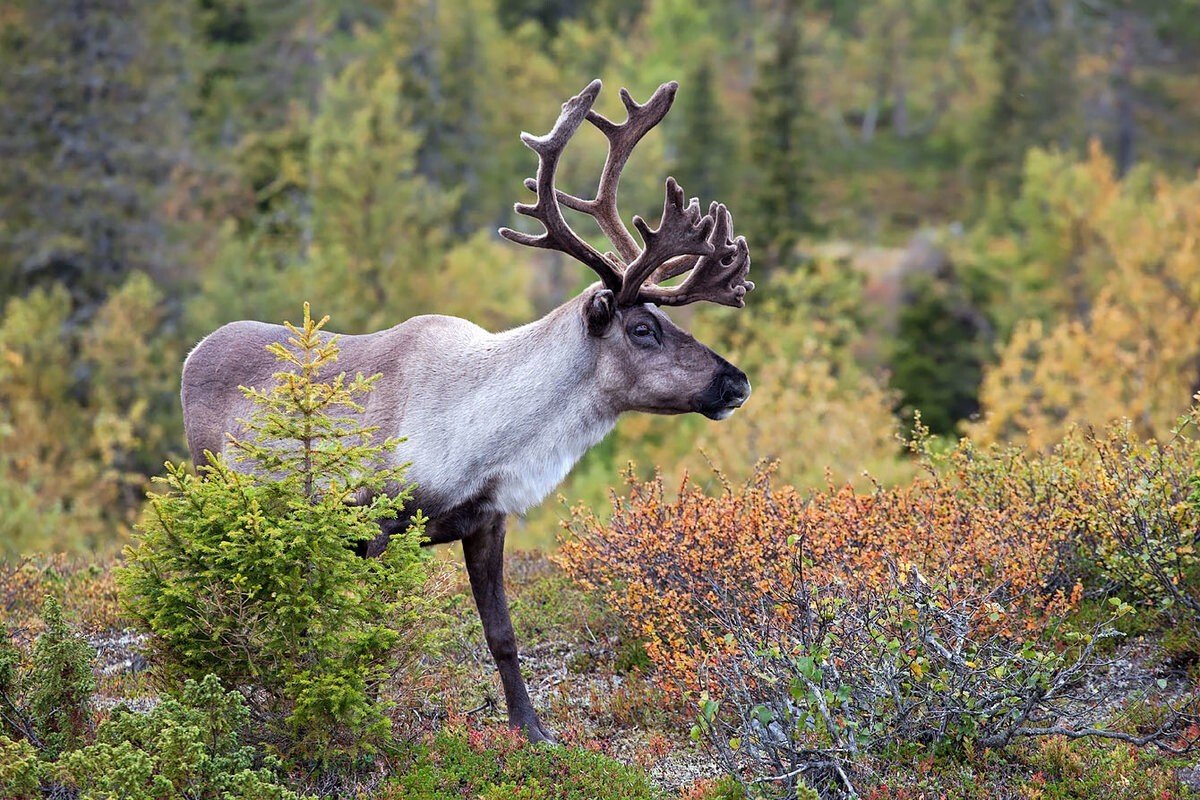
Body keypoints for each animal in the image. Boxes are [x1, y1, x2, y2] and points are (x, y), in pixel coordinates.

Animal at [180, 79, 753, 743]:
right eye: (642, 328)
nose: (736, 382)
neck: (483, 434)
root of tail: (192, 354)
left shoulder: (485, 522)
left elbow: (502, 635)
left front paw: (532, 731)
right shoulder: (380, 523)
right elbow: (375, 635)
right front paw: (364, 725)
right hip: (215, 492)